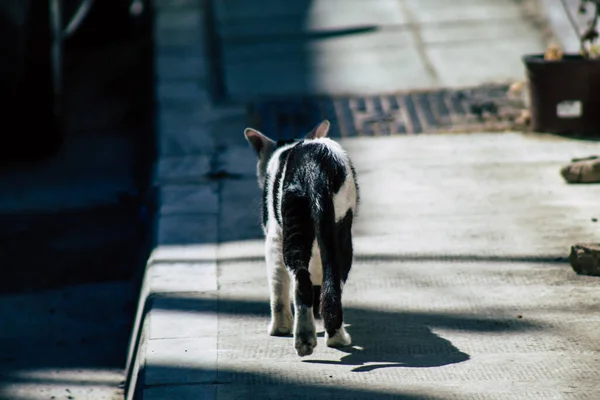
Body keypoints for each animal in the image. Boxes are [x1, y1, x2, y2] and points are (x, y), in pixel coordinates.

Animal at [245, 119, 358, 356]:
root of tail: (313, 166)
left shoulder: (274, 236)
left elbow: (277, 287)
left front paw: (280, 328)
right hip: (334, 224)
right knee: (327, 278)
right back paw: (322, 338)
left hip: (301, 224)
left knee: (302, 278)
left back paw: (316, 338)